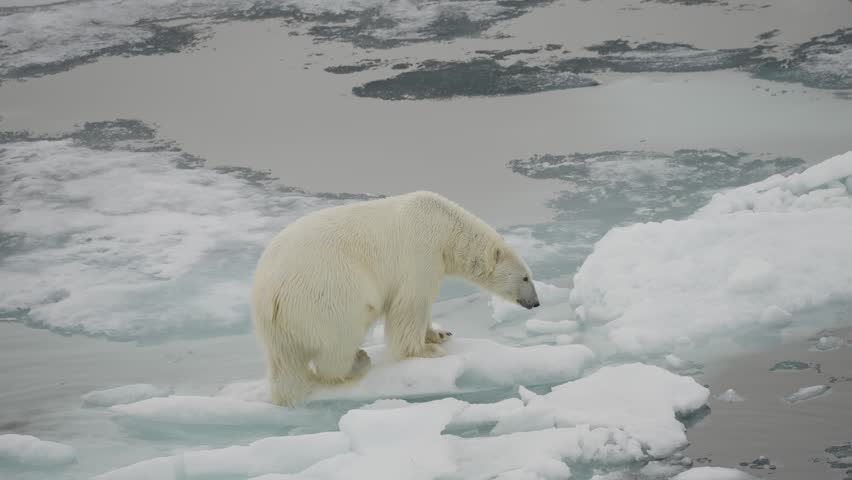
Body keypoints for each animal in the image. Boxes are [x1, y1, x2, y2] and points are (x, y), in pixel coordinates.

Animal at [250, 190, 540, 407]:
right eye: (526, 277)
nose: (535, 302)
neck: (445, 225)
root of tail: (270, 294)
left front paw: (440, 333)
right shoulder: (421, 253)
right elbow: (411, 304)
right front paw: (425, 350)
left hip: (278, 326)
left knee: (284, 364)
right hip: (326, 294)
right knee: (341, 337)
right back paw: (357, 362)